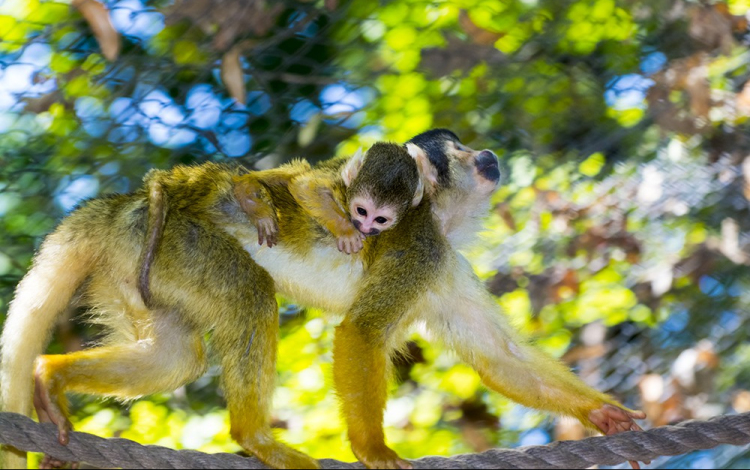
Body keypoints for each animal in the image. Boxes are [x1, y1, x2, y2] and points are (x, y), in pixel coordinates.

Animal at [0, 129, 648, 470]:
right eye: (457, 153)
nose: (483, 154)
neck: (439, 220)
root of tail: (121, 205)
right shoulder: (419, 250)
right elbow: (360, 332)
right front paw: (374, 450)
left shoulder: (442, 264)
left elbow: (497, 356)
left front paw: (602, 415)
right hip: (176, 243)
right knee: (249, 297)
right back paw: (254, 437)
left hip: (135, 268)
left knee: (175, 355)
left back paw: (51, 376)